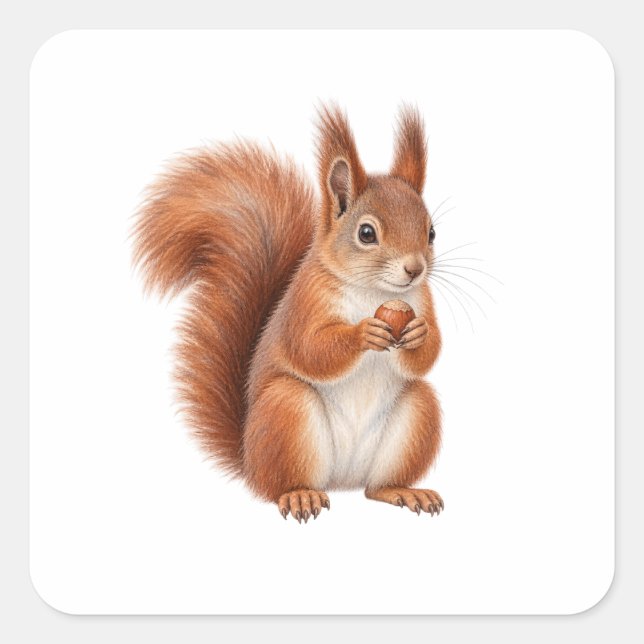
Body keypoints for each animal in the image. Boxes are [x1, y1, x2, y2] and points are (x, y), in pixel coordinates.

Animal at [132, 104, 443, 522]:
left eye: (431, 232)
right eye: (366, 233)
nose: (415, 269)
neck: (373, 291)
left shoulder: (421, 299)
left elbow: (429, 353)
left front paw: (419, 334)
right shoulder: (304, 303)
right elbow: (310, 349)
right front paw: (363, 333)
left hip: (416, 417)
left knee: (376, 487)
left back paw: (403, 491)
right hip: (287, 409)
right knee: (278, 484)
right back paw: (299, 495)